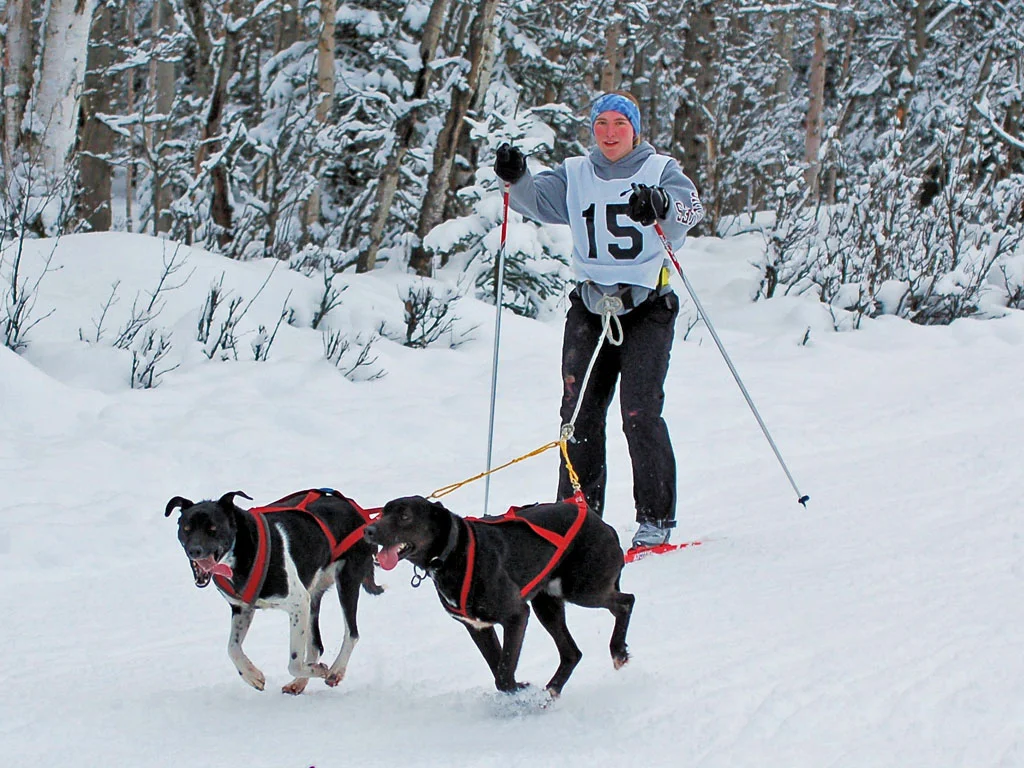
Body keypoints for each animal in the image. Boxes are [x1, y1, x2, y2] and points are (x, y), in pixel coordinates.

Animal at [165, 493, 382, 696]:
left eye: (213, 528)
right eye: (187, 528)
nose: (195, 550)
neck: (243, 551)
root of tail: (356, 510)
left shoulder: (298, 603)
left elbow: (294, 663)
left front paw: (320, 670)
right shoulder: (243, 609)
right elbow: (232, 648)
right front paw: (252, 676)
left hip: (346, 581)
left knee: (351, 633)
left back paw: (335, 671)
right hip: (313, 596)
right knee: (316, 645)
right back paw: (300, 683)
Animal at [364, 495, 634, 700]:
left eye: (405, 516)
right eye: (383, 513)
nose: (368, 530)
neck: (453, 553)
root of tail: (602, 524)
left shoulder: (516, 614)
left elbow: (504, 673)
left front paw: (519, 691)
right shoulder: (478, 627)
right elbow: (499, 669)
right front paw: (520, 691)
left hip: (582, 588)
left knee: (626, 601)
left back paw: (618, 651)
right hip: (546, 604)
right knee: (572, 653)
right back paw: (550, 692)